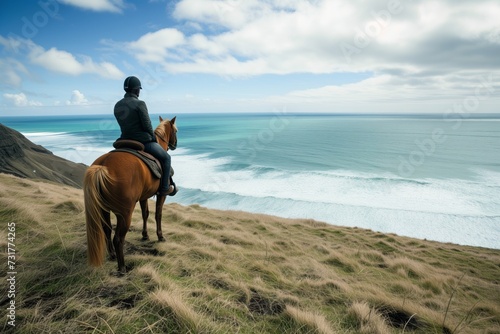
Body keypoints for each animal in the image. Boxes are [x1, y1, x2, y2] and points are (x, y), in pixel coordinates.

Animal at [85, 116, 179, 272]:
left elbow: (145, 214)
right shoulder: (162, 195)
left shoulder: (144, 196)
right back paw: (122, 267)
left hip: (103, 209)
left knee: (107, 230)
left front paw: (145, 235)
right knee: (118, 239)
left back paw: (112, 255)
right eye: (176, 130)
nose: (175, 144)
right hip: (124, 213)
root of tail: (103, 165)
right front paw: (160, 236)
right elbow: (158, 214)